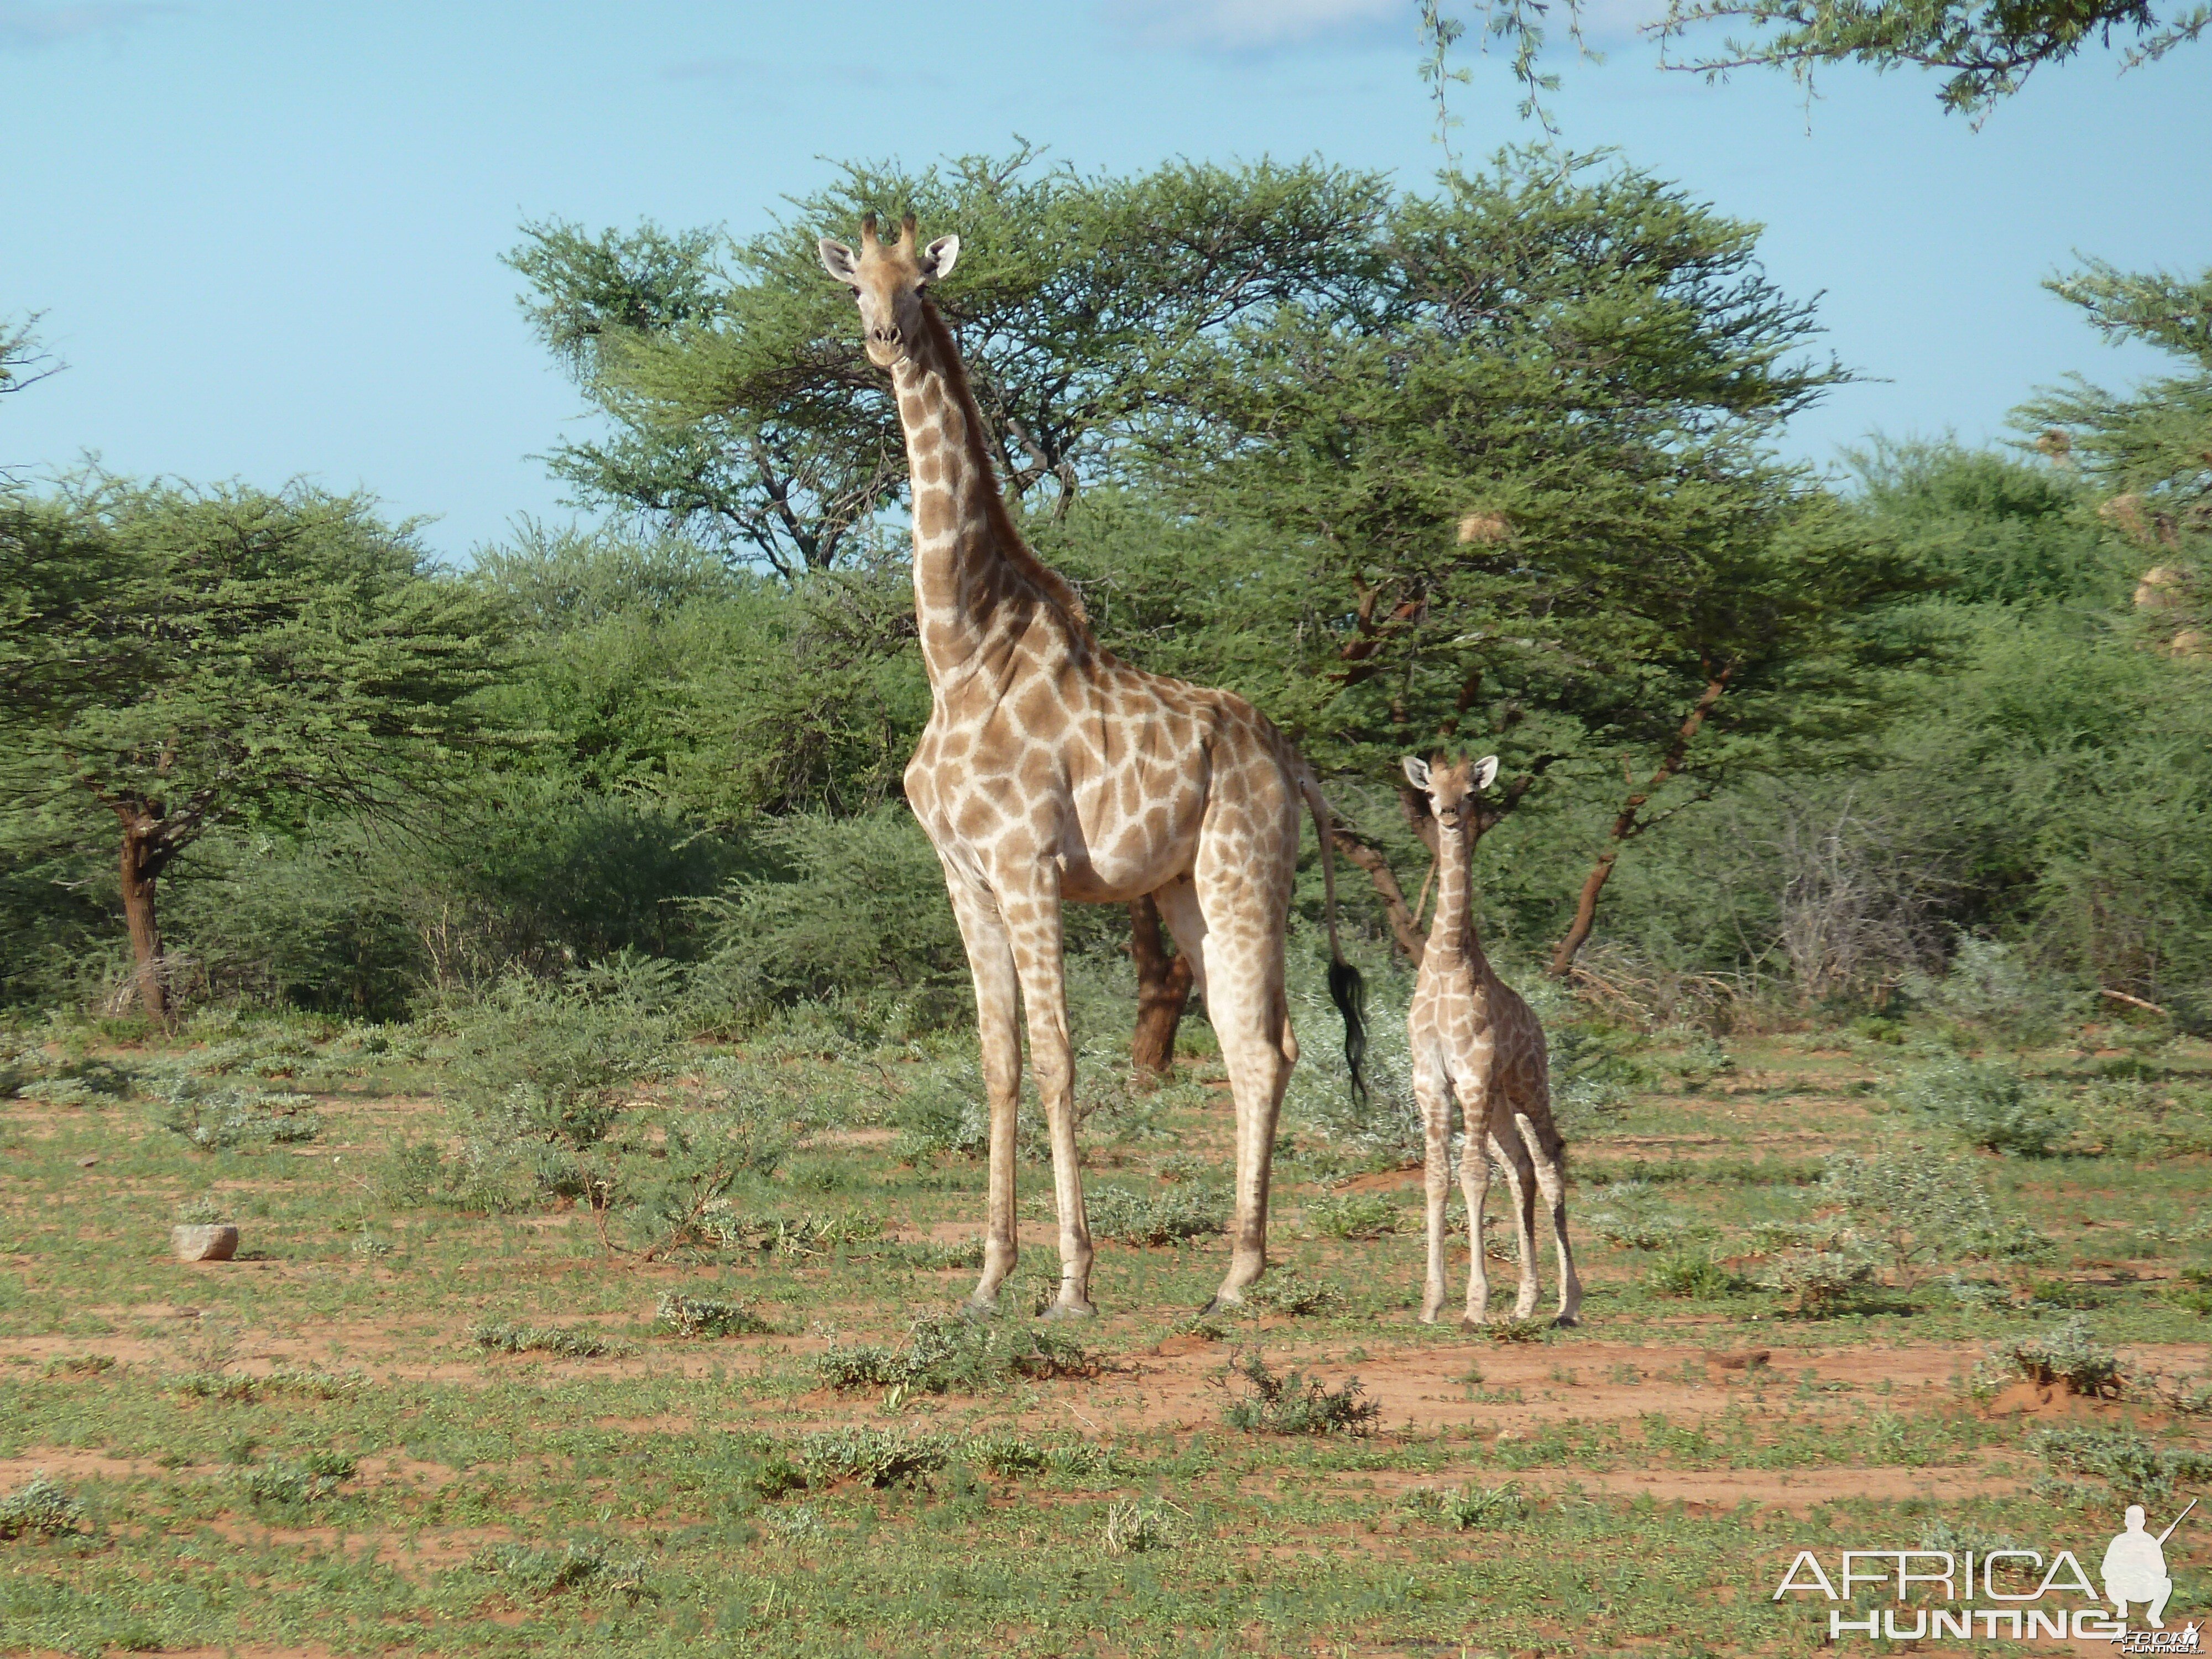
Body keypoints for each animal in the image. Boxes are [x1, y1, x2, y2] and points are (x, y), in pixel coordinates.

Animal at [823, 211, 1354, 1327]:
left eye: (920, 285)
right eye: (857, 288)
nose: (885, 340)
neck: (959, 653)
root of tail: (1293, 760)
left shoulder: (1028, 867)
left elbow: (1062, 1060)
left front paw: (1071, 1283)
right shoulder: (963, 875)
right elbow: (999, 1062)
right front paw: (988, 1281)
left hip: (1246, 872)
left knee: (1264, 1045)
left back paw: (1241, 1275)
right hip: (1189, 887)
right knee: (1249, 1046)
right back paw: (1235, 1271)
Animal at [1407, 761, 1584, 1336]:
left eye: (1469, 792)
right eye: (1430, 791)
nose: (1447, 814)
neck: (1446, 961)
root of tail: (1538, 1024)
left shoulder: (1472, 1075)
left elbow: (1472, 1175)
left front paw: (1475, 1305)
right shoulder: (1431, 1081)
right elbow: (1437, 1177)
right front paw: (1432, 1303)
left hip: (1527, 1086)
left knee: (1549, 1165)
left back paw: (1568, 1304)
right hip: (1503, 1099)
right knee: (1520, 1169)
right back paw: (1526, 1304)